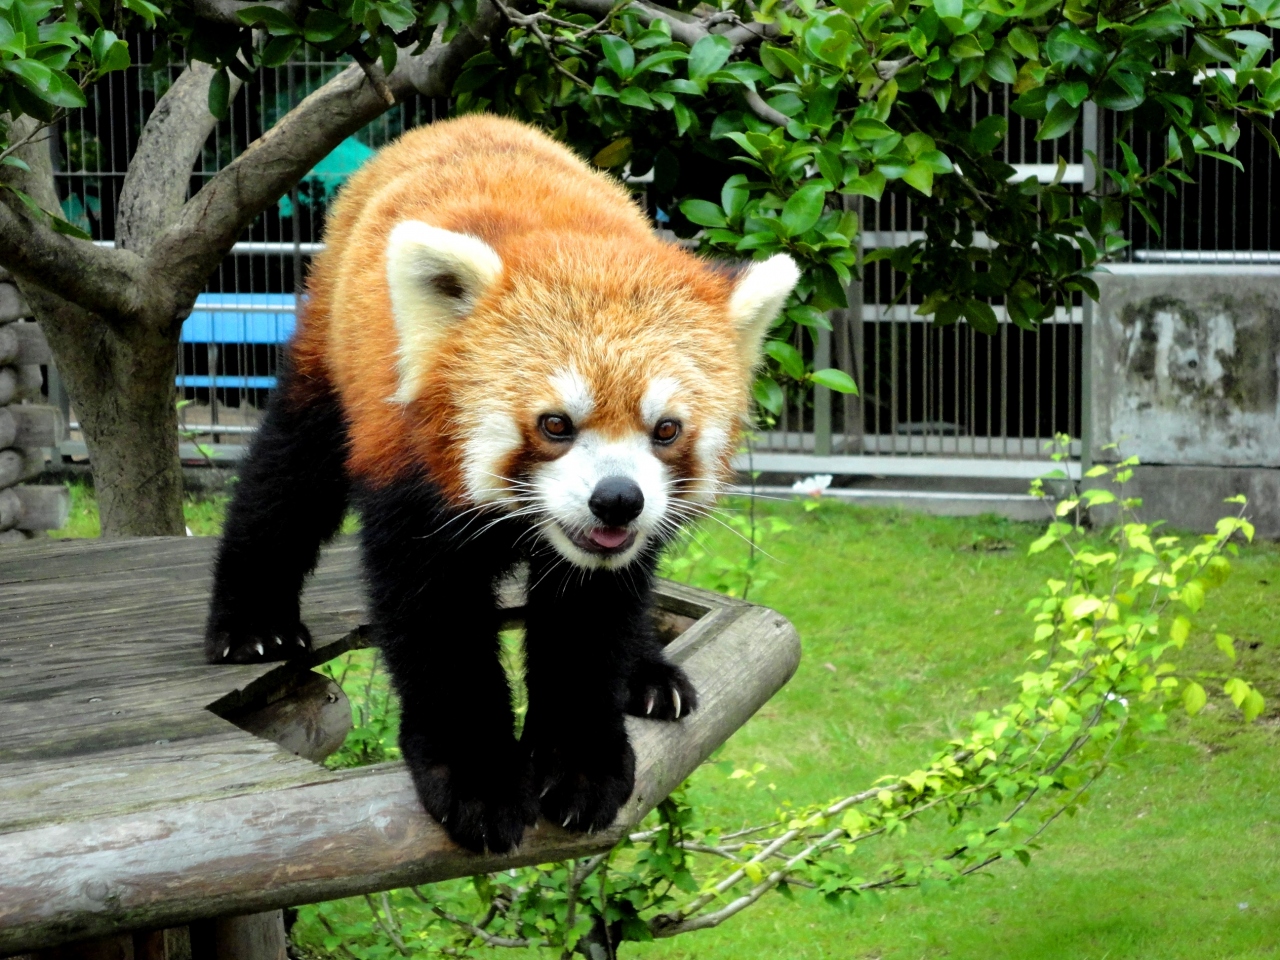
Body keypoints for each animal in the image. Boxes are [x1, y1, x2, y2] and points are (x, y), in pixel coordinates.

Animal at [204, 114, 793, 855]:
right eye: (554, 424)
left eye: (665, 430)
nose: (617, 500)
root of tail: (461, 123)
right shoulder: (412, 477)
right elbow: (438, 623)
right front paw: (477, 778)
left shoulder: (614, 551)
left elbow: (592, 622)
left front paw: (581, 762)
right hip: (330, 347)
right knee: (288, 474)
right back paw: (250, 625)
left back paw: (650, 674)